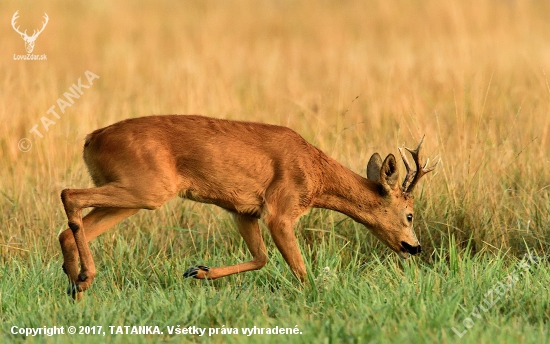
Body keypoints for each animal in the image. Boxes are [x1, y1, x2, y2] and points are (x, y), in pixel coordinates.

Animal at [59, 115, 440, 298]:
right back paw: (85, 276)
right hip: (148, 190)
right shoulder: (280, 210)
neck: (315, 173)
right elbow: (300, 270)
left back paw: (76, 288)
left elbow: (262, 257)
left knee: (67, 230)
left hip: (133, 195)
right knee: (68, 194)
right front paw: (317, 299)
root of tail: (91, 140)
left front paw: (198, 271)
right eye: (409, 214)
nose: (415, 247)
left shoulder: (243, 211)